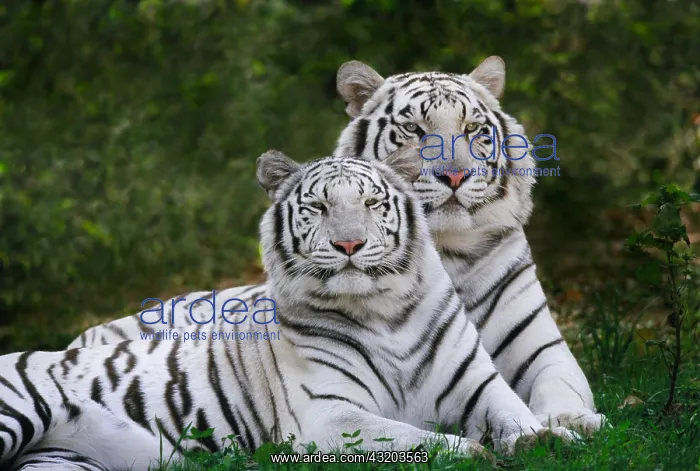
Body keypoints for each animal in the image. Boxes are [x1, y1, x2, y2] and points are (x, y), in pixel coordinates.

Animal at [0, 151, 574, 471]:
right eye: (319, 207)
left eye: (372, 204)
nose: (349, 245)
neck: (385, 311)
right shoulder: (328, 415)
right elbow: (416, 439)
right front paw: (474, 452)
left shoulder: (479, 386)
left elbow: (517, 416)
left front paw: (554, 438)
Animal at [69, 56, 606, 436]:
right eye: (414, 129)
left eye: (472, 129)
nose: (453, 176)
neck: (446, 251)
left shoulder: (542, 347)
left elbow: (561, 385)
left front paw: (574, 422)